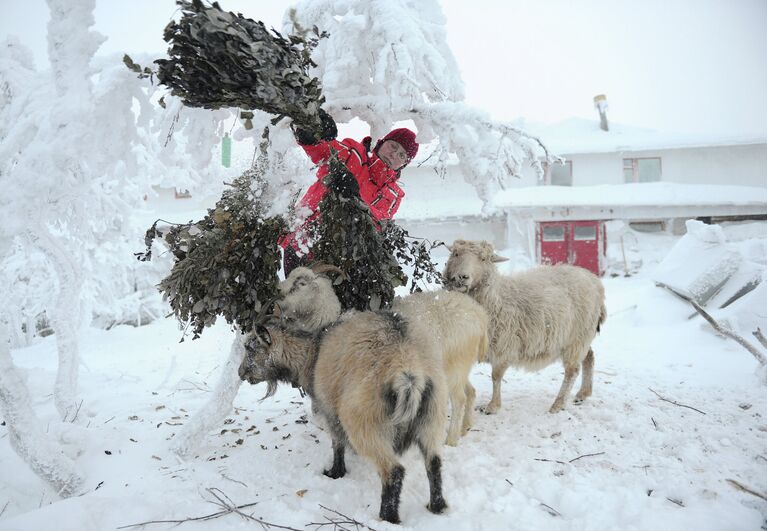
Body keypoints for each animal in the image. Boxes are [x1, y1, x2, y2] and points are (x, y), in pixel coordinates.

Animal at [237, 312, 448, 524]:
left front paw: (335, 473)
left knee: (393, 470)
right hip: (432, 416)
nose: (240, 373)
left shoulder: (330, 411)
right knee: (434, 461)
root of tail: (408, 368)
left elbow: (337, 444)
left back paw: (388, 517)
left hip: (363, 422)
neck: (311, 355)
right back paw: (437, 506)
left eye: (250, 348)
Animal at [280, 266, 488, 444]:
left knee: (460, 400)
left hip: (455, 366)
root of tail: (479, 314)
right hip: (458, 367)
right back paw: (465, 428)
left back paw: (451, 440)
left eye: (301, 283)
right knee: (471, 392)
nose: (278, 293)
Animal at [444, 240, 608, 416]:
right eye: (456, 254)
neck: (496, 298)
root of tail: (594, 280)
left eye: (483, 259)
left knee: (572, 371)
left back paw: (558, 404)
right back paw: (583, 393)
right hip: (580, 337)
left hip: (577, 337)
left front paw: (493, 406)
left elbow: (496, 376)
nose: (462, 277)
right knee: (589, 356)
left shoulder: (504, 345)